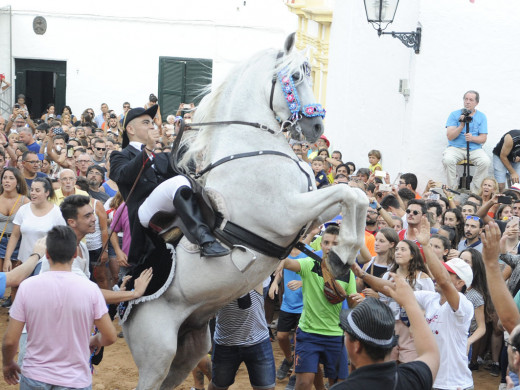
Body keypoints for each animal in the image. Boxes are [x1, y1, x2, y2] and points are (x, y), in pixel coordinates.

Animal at [122, 35, 368, 388]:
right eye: (295, 76)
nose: (316, 126)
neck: (250, 145)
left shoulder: (309, 209)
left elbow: (356, 196)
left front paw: (339, 259)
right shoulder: (285, 212)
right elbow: (348, 192)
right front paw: (340, 256)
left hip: (189, 348)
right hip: (157, 351)